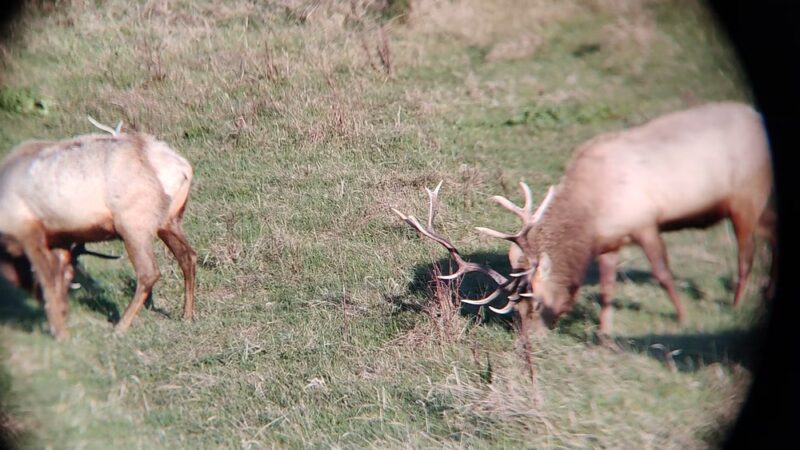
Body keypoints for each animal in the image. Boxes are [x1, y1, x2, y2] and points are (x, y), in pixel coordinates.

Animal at [0, 118, 197, 340]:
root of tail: (183, 168)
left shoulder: (27, 228)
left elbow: (48, 279)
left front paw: (60, 332)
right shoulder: (61, 238)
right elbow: (62, 276)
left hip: (134, 224)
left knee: (149, 272)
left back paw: (120, 326)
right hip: (169, 222)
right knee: (188, 256)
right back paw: (187, 316)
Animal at [394, 101, 775, 345]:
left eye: (535, 303)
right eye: (514, 310)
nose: (530, 341)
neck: (592, 213)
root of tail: (757, 117)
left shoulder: (644, 223)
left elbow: (664, 274)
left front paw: (681, 318)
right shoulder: (609, 242)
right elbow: (607, 289)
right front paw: (605, 333)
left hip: (746, 196)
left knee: (746, 253)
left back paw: (737, 303)